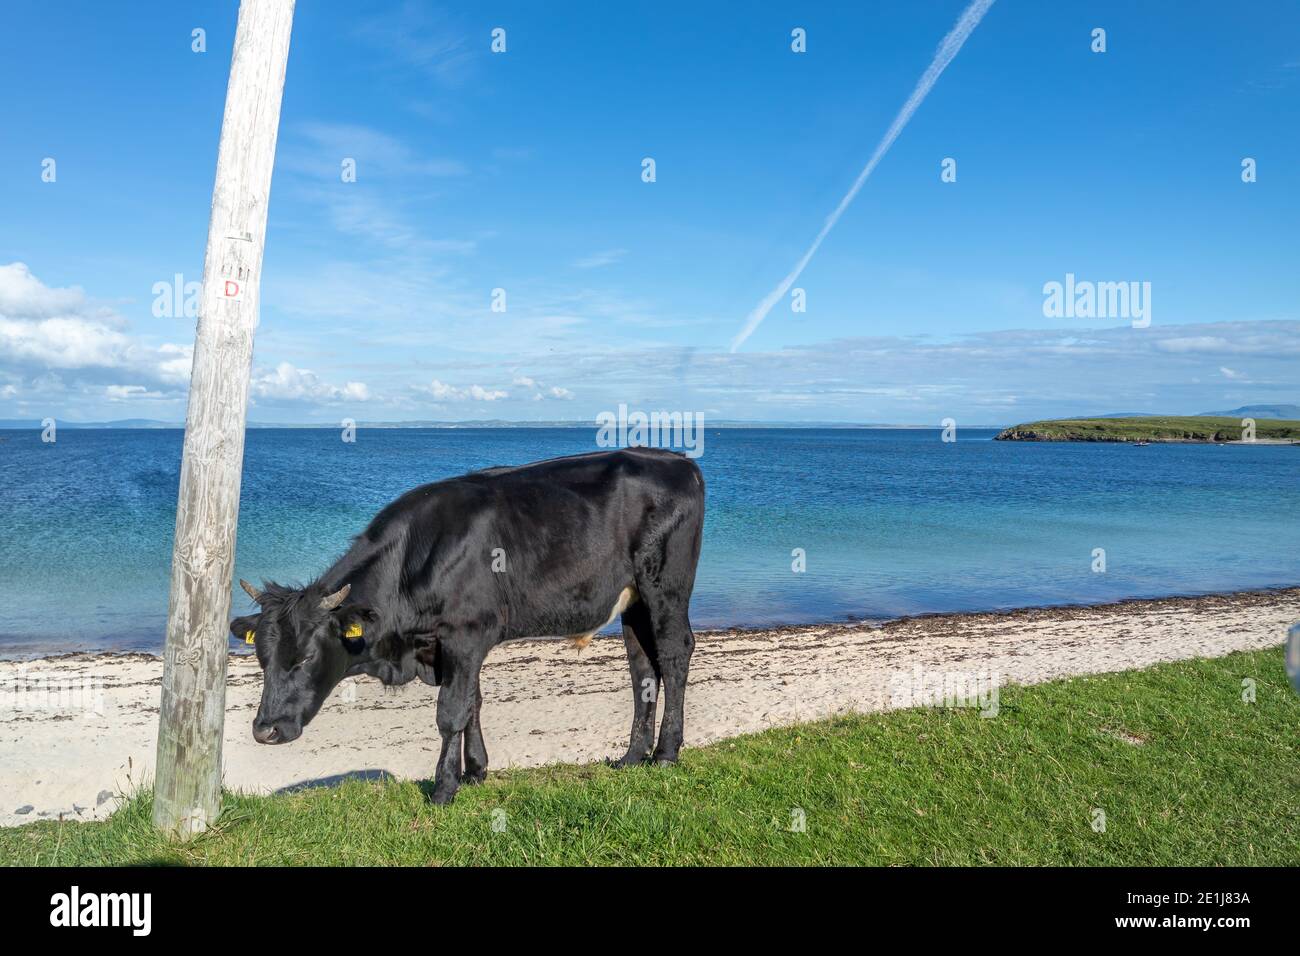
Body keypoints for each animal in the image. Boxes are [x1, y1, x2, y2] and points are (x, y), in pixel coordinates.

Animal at [231, 444, 702, 806]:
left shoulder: (467, 633)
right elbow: (473, 702)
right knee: (642, 668)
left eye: (306, 656)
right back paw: (632, 756)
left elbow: (450, 712)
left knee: (675, 654)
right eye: (261, 658)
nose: (265, 730)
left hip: (665, 586)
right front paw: (476, 771)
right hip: (633, 601)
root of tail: (677, 460)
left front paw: (444, 788)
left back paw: (665, 752)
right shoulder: (456, 646)